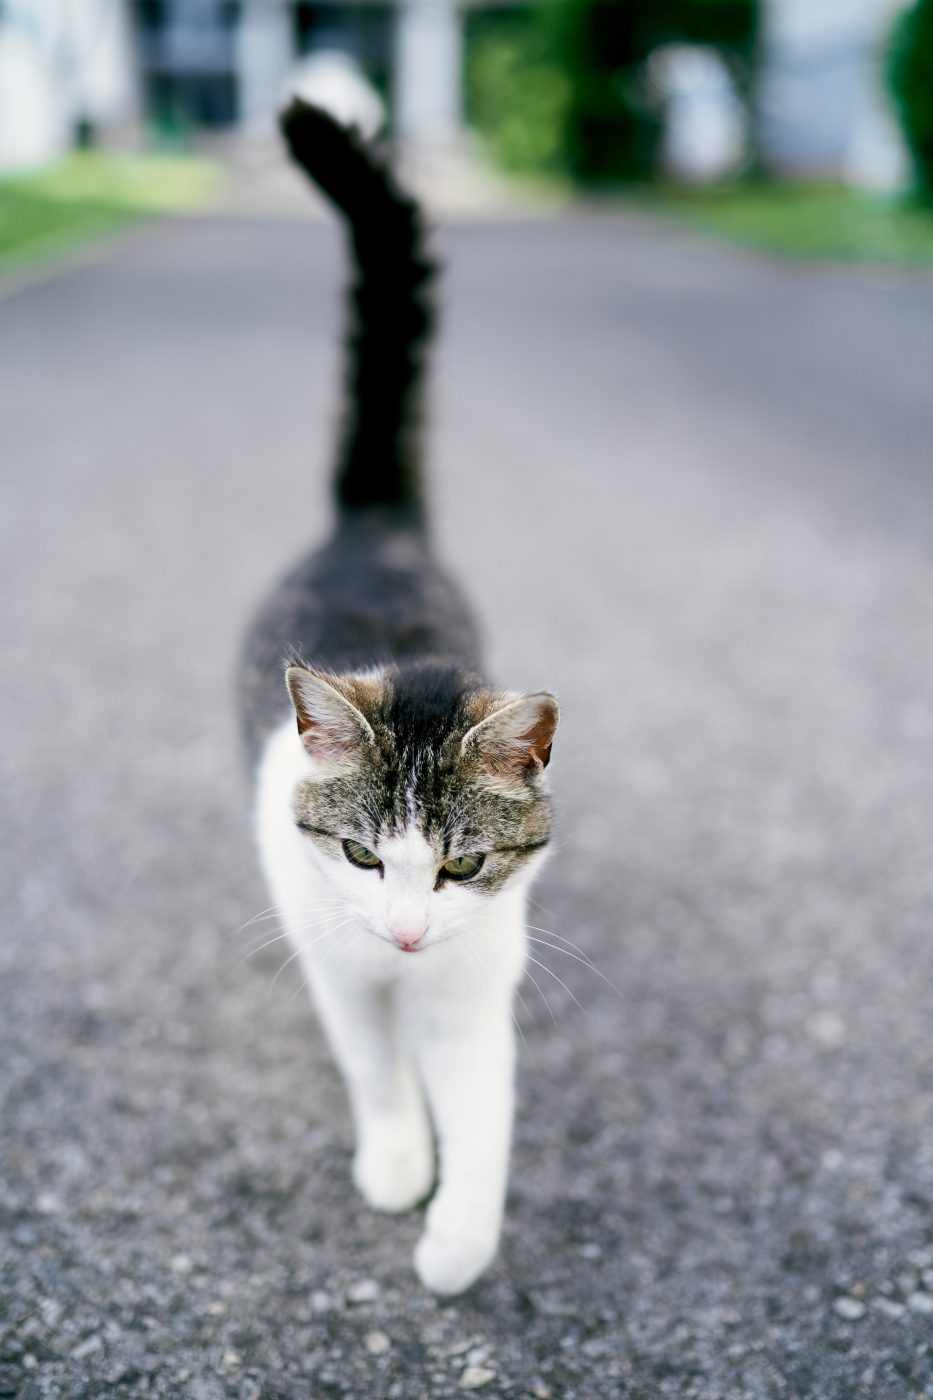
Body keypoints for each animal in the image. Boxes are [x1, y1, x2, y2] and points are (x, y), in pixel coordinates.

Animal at [239, 101, 560, 1299]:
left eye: (462, 864)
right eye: (361, 855)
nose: (411, 931)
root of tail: (372, 520)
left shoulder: (473, 981)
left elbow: (483, 1112)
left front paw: (457, 1241)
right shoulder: (336, 959)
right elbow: (376, 1068)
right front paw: (395, 1162)